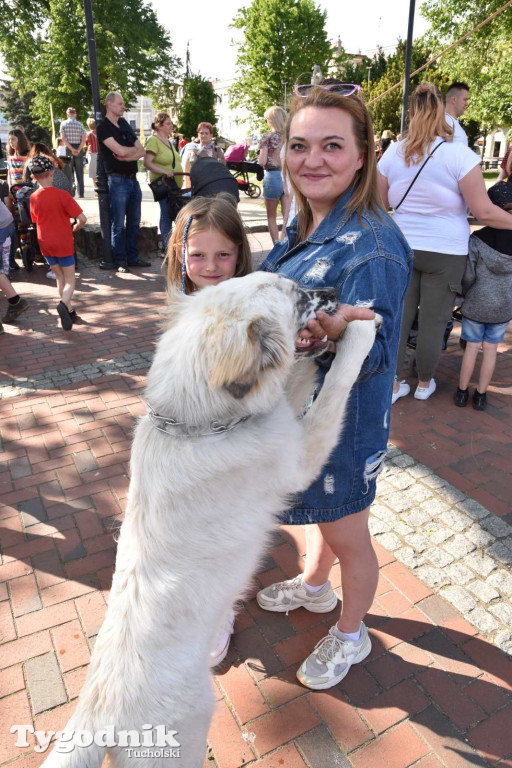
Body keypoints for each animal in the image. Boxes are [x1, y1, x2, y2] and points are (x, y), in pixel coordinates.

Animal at [42, 272, 380, 764]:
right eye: (296, 296)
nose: (335, 293)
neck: (194, 426)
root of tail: (98, 715)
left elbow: (296, 378)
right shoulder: (302, 454)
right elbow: (334, 387)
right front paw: (360, 333)